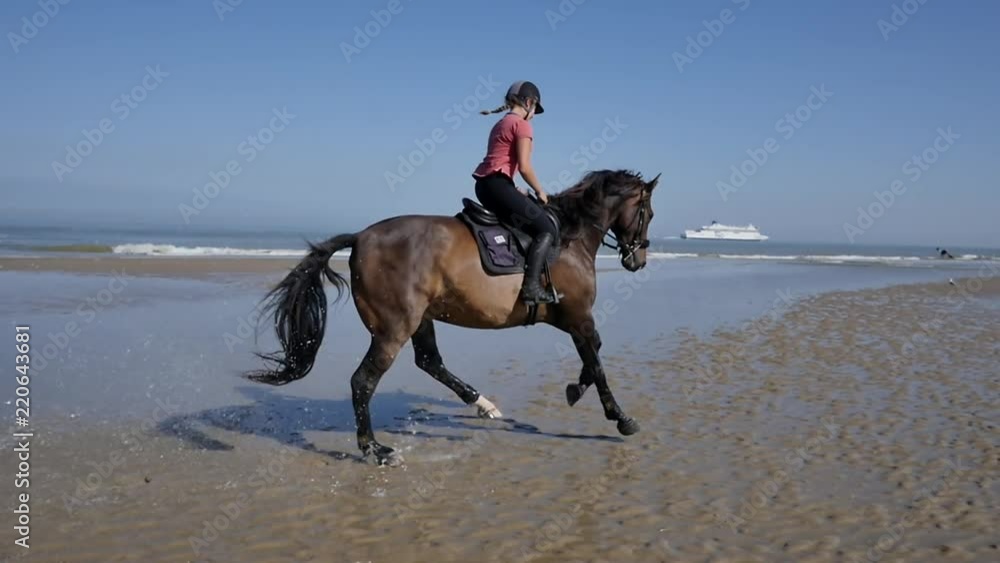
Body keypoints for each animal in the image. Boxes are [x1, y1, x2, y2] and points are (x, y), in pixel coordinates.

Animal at [247, 169, 660, 466]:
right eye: (649, 214)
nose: (637, 260)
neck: (572, 237)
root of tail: (361, 237)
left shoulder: (572, 320)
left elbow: (594, 355)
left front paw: (575, 390)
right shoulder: (578, 317)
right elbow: (598, 362)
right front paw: (621, 418)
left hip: (420, 318)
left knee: (429, 361)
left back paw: (484, 405)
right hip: (393, 328)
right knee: (363, 382)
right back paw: (375, 450)